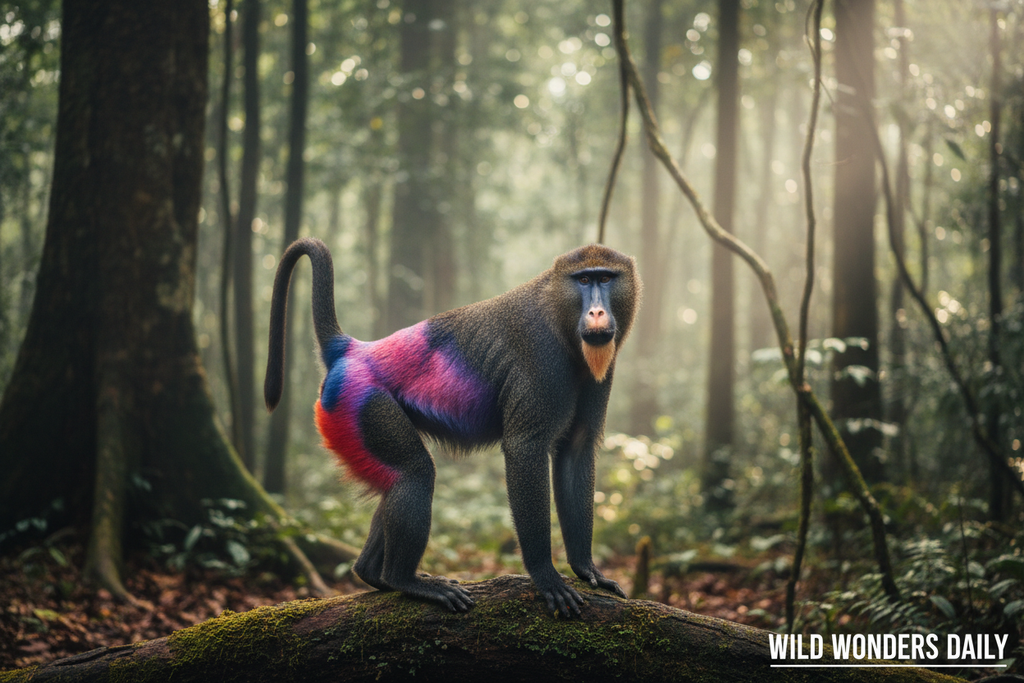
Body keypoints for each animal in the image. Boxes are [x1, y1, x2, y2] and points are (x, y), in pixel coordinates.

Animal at [264, 238, 641, 616]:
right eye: (584, 280)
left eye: (605, 278)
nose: (596, 312)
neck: (559, 312)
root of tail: (353, 350)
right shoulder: (541, 356)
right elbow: (525, 448)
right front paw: (546, 576)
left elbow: (577, 448)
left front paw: (586, 568)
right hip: (360, 405)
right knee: (414, 474)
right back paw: (404, 580)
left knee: (395, 483)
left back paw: (372, 573)